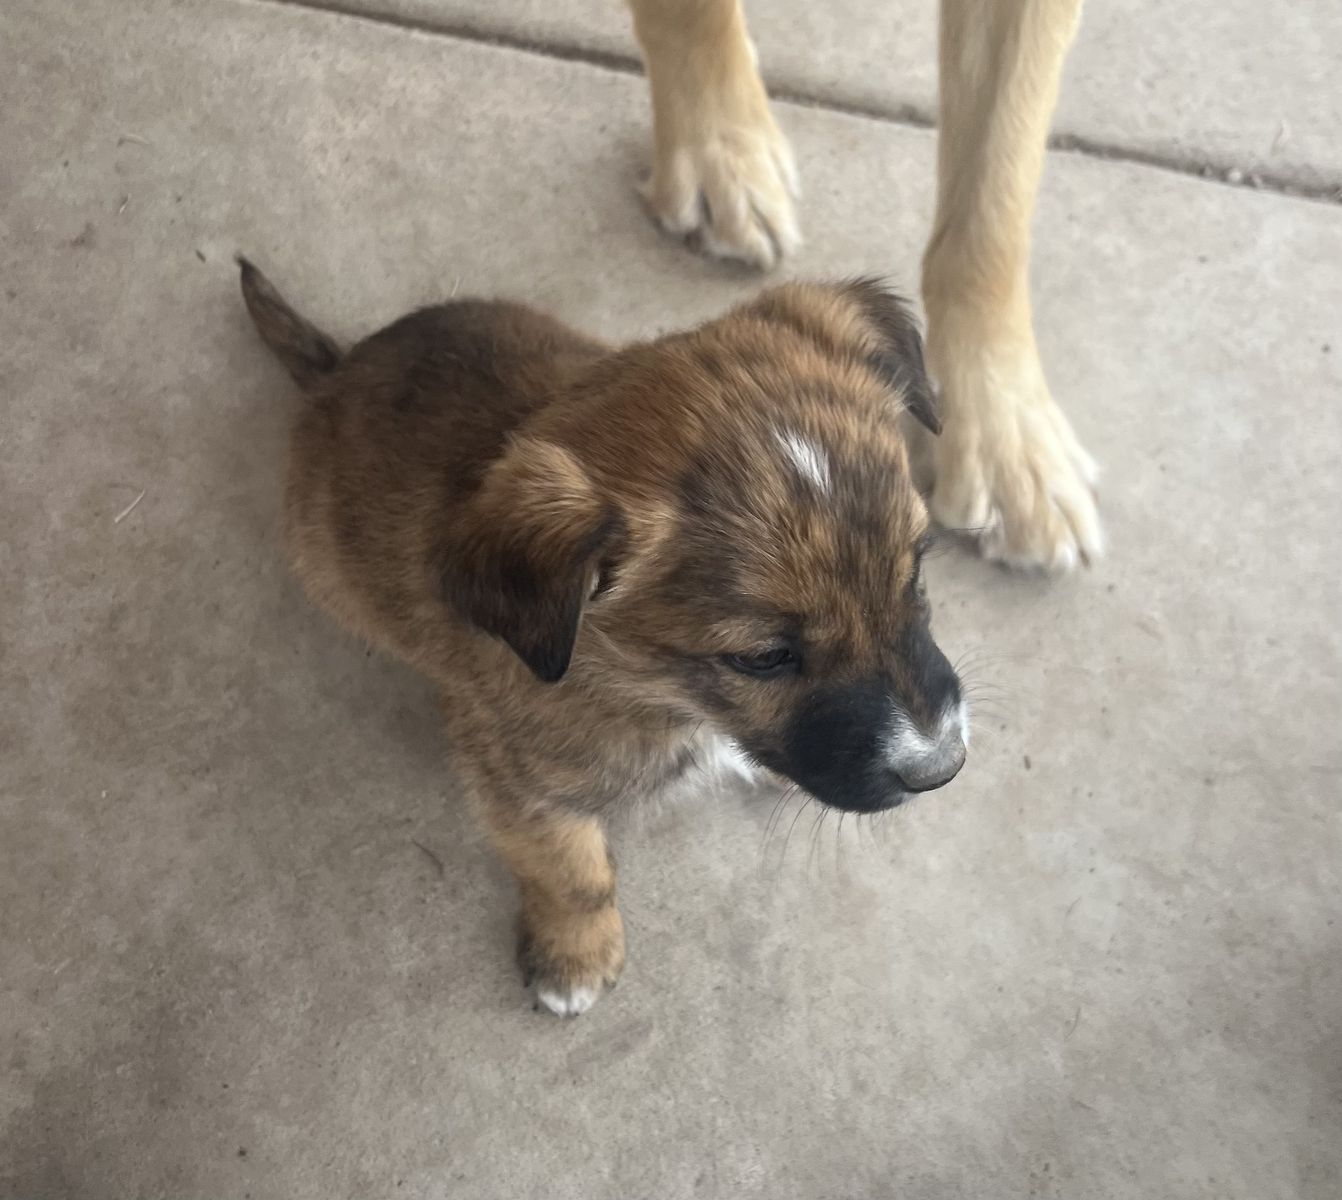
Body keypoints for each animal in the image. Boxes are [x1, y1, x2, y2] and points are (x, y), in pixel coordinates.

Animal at [239, 259, 968, 1015]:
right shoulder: (521, 789)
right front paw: (576, 957)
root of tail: (338, 368)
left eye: (917, 569)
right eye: (764, 658)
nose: (942, 768)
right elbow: (572, 873)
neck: (649, 688)